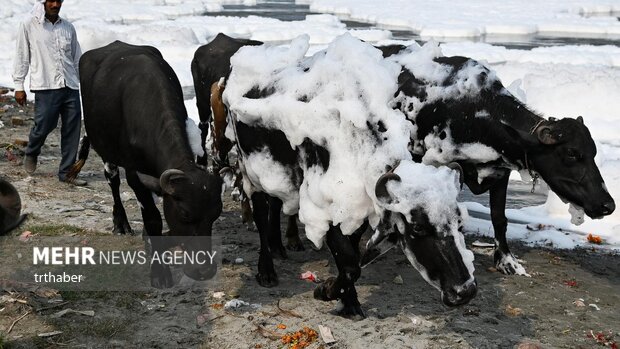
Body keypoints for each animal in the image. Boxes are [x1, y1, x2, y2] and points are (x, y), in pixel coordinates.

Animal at [382, 43, 616, 274]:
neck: (476, 113)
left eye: (593, 152)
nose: (608, 205)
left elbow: (499, 218)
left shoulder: (501, 173)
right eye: (571, 153)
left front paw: (506, 260)